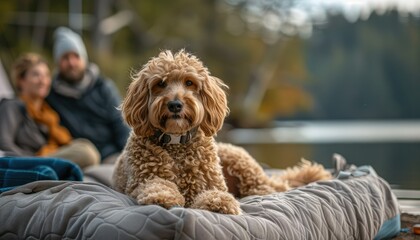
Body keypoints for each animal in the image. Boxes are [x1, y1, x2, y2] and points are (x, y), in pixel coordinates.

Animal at [112, 48, 332, 214]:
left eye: (189, 82)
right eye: (160, 83)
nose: (175, 105)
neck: (176, 141)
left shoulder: (210, 183)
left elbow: (214, 193)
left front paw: (218, 202)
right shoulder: (141, 181)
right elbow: (157, 185)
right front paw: (162, 197)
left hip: (244, 167)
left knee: (270, 189)